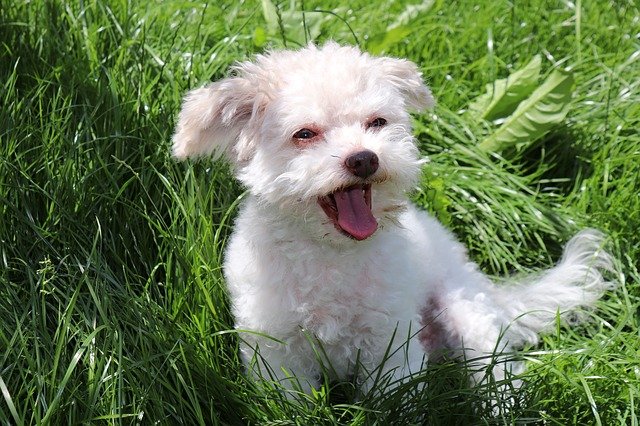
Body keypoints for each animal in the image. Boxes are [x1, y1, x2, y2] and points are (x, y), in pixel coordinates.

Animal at [172, 43, 612, 400]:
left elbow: (394, 400)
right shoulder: (276, 349)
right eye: (304, 134)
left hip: (469, 315)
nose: (364, 158)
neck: (332, 254)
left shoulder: (390, 343)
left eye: (377, 123)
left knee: (499, 376)